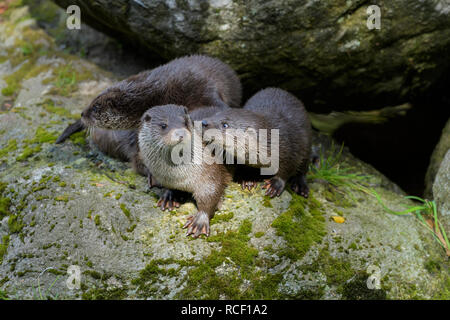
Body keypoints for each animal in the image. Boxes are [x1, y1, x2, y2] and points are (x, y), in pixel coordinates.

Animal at [138, 105, 232, 238]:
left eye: (185, 122)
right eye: (163, 125)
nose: (180, 133)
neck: (180, 177)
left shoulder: (209, 172)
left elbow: (210, 194)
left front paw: (200, 220)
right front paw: (169, 197)